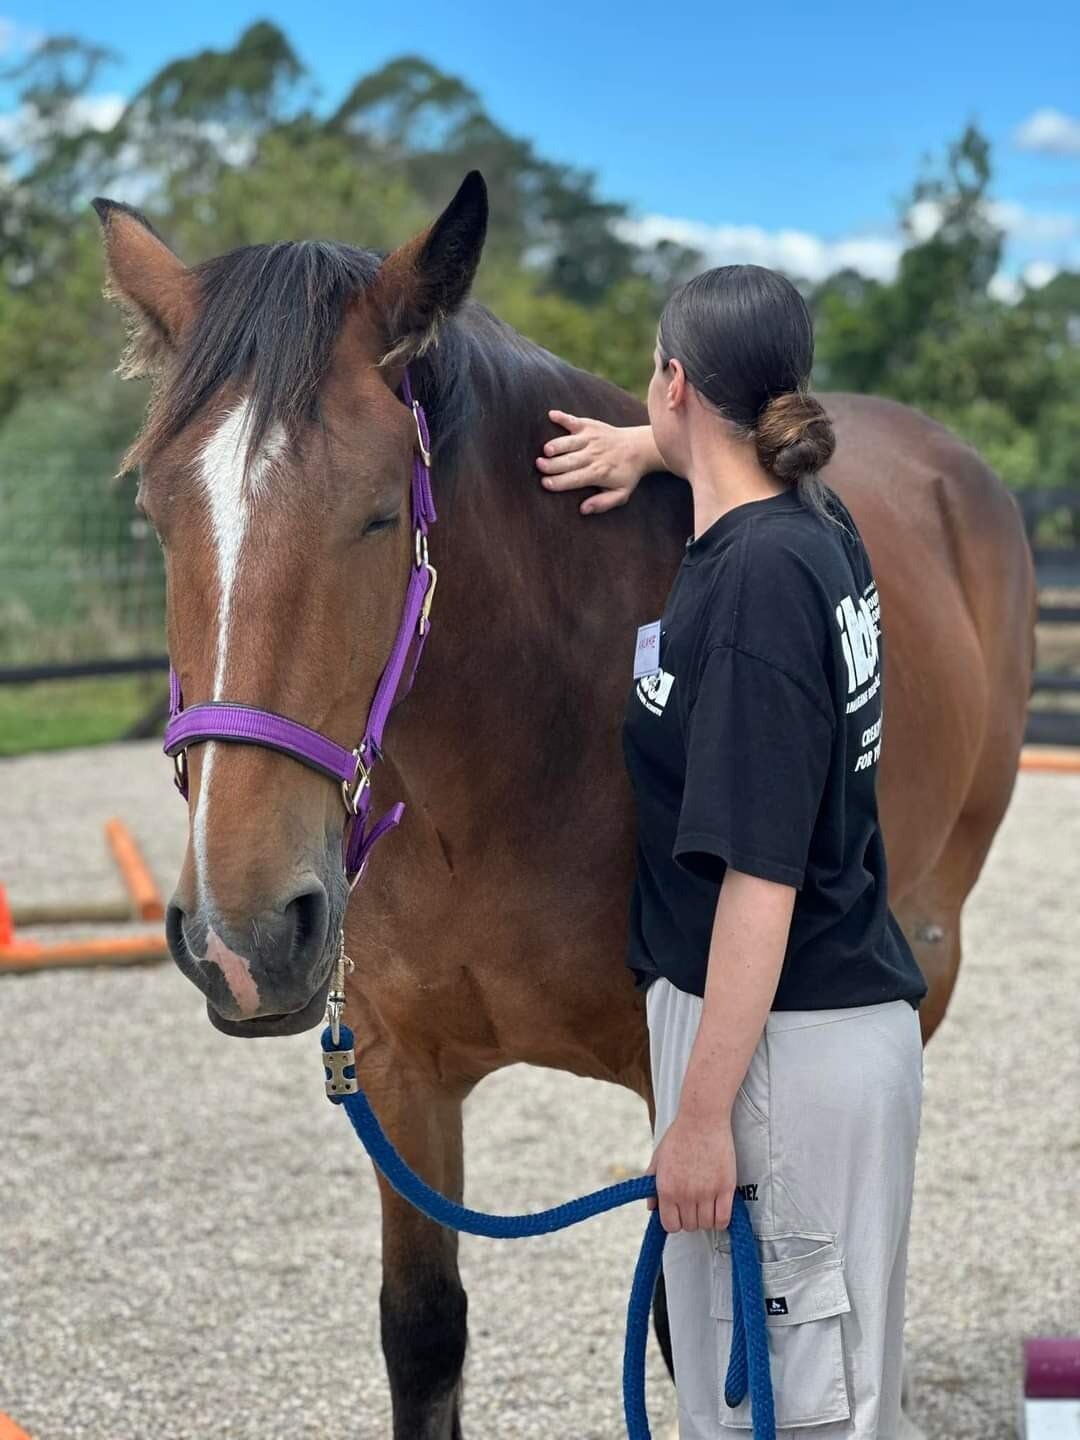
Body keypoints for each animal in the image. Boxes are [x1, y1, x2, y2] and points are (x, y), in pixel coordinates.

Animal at [95, 171, 1042, 1440]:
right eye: (158, 514)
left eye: (379, 514)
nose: (242, 940)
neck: (500, 773)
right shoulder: (396, 1072)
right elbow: (423, 1334)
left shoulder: (682, 1093)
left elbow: (694, 1343)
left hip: (930, 937)